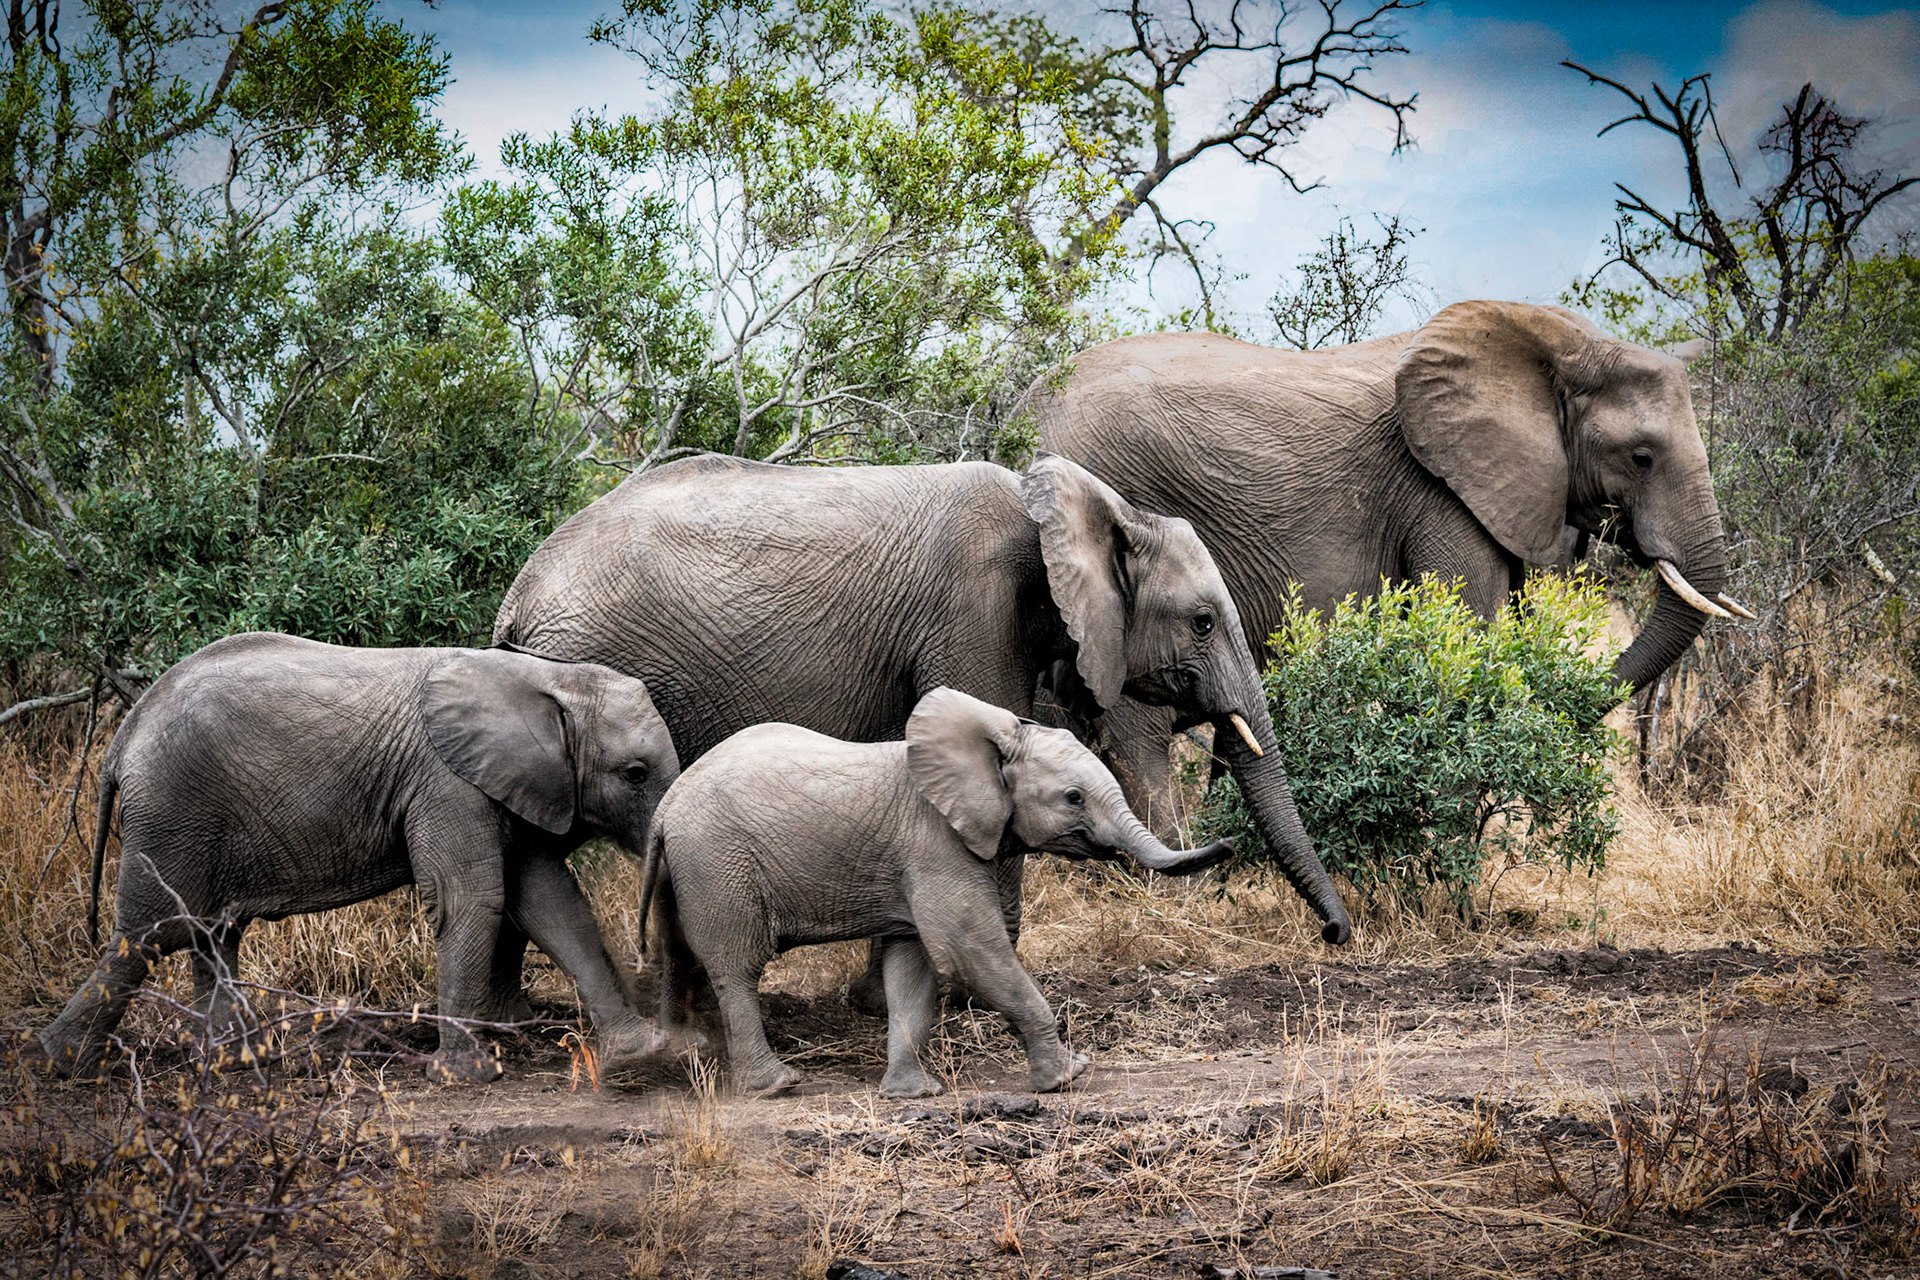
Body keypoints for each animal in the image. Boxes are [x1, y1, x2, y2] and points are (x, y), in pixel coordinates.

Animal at [36, 632, 681, 1083]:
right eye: (634, 774)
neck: (547, 677)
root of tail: (123, 736)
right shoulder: (447, 783)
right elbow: (471, 899)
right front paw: (470, 1076)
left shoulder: (504, 785)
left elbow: (551, 901)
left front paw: (642, 1053)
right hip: (173, 810)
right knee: (150, 935)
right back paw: (62, 1065)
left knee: (210, 933)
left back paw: (235, 1063)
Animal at [640, 687, 1234, 1096]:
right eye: (1073, 798)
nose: (1229, 843)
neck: (991, 744)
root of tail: (665, 808)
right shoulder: (935, 844)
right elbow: (970, 948)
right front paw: (1066, 1078)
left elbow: (914, 966)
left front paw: (913, 1095)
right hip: (717, 863)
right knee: (737, 966)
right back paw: (776, 1086)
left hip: (685, 869)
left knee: (683, 954)